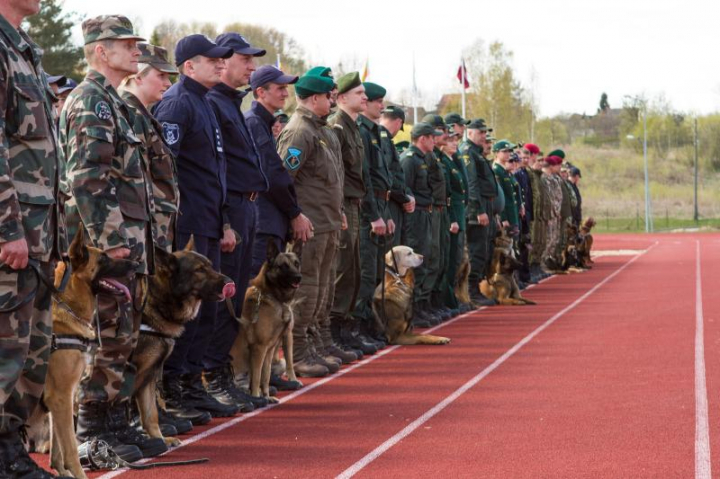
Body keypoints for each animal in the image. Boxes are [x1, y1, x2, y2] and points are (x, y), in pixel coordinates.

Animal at [39, 227, 139, 478]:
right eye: (104, 259)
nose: (135, 263)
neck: (68, 306)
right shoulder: (62, 396)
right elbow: (71, 450)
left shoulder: (58, 399)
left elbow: (58, 451)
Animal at [132, 238, 236, 448]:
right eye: (199, 270)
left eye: (210, 266)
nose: (230, 282)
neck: (157, 302)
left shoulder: (148, 376)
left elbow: (151, 414)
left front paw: (159, 439)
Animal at [228, 242, 300, 404]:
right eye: (283, 266)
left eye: (296, 264)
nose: (298, 278)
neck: (271, 295)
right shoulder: (259, 348)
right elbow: (256, 377)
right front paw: (257, 397)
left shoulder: (269, 349)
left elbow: (265, 376)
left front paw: (266, 396)